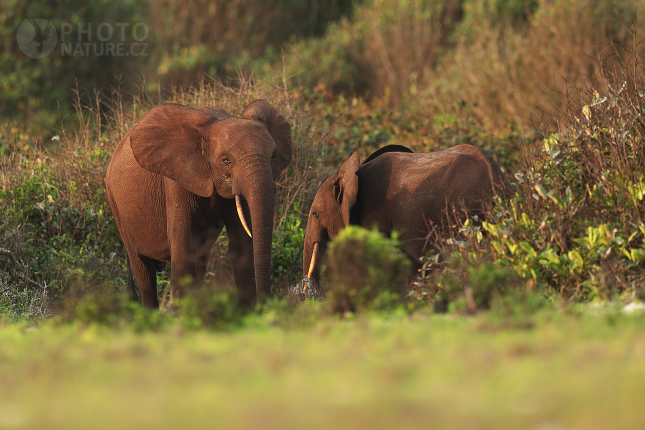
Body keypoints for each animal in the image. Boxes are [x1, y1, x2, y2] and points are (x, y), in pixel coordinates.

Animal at [105, 99, 292, 308]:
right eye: (225, 160)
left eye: (273, 157)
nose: (266, 304)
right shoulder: (176, 179)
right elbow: (183, 245)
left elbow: (242, 244)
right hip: (116, 206)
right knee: (143, 269)